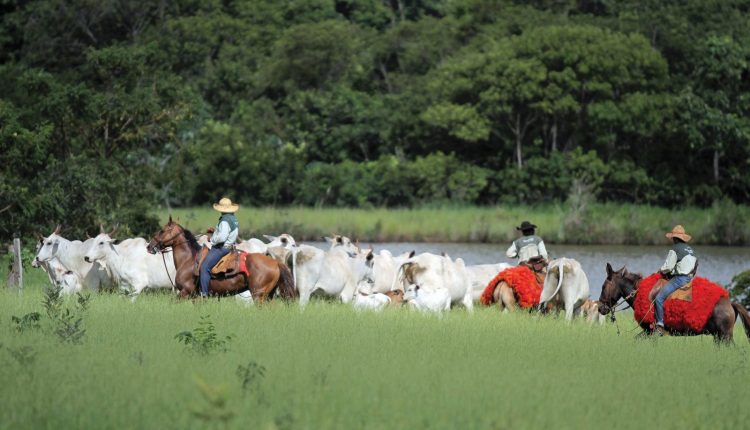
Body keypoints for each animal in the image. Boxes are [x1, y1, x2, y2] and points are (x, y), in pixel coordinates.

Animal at [147, 217, 296, 300]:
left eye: (162, 231)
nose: (149, 246)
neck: (188, 260)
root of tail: (275, 263)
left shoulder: (185, 292)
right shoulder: (195, 297)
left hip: (258, 295)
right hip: (268, 295)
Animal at [600, 262, 750, 342]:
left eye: (603, 286)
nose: (600, 308)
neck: (640, 292)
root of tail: (730, 304)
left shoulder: (652, 332)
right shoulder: (649, 333)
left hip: (725, 336)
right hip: (718, 337)